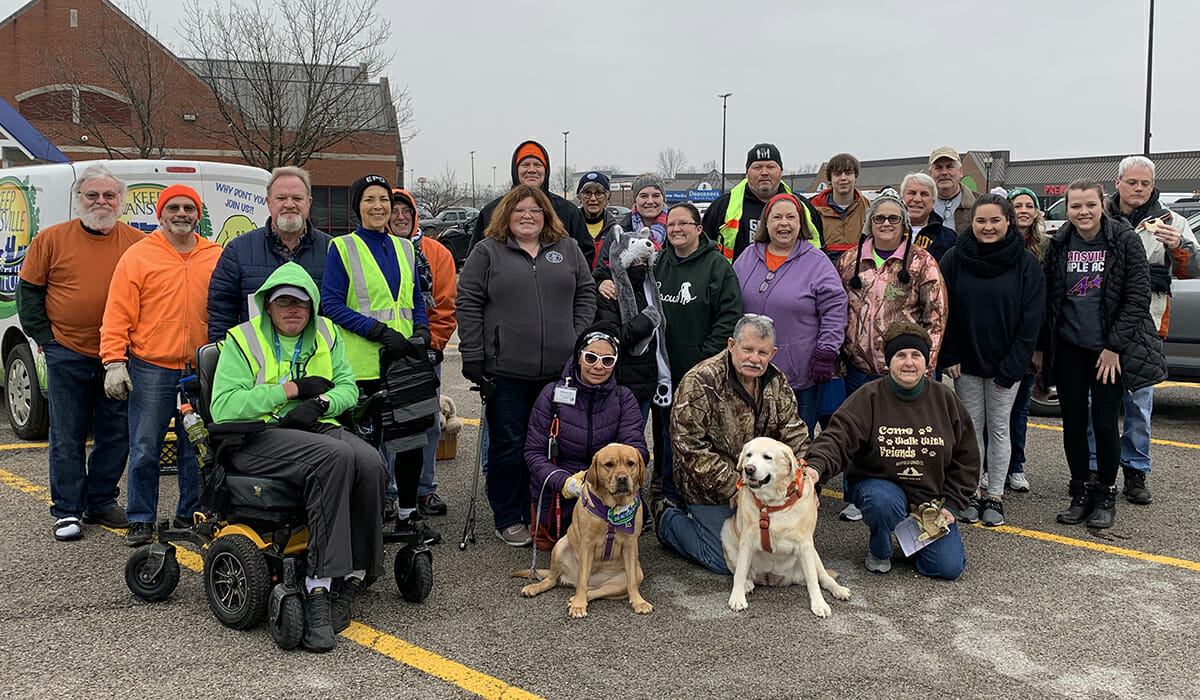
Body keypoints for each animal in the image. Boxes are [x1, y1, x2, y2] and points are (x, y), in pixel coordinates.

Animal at [513, 444, 652, 619]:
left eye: (630, 463)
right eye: (609, 464)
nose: (622, 478)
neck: (612, 510)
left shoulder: (630, 544)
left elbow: (632, 583)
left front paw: (639, 602)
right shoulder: (587, 544)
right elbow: (582, 579)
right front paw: (579, 605)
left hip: (634, 574)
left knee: (596, 591)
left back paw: (577, 598)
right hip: (560, 545)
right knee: (554, 580)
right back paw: (535, 588)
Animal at [715, 437, 849, 619]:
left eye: (767, 457)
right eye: (748, 455)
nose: (748, 469)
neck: (771, 504)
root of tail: (772, 578)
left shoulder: (805, 544)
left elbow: (813, 581)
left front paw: (819, 604)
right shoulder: (746, 540)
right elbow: (740, 572)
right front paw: (737, 598)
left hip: (813, 553)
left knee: (823, 576)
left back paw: (838, 590)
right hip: (727, 531)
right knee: (738, 570)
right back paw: (747, 585)